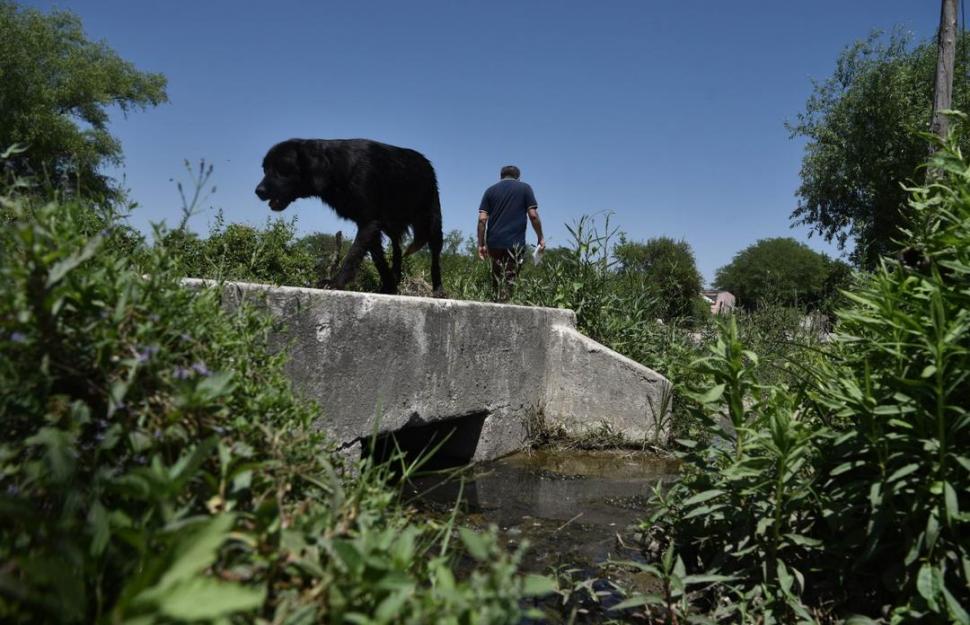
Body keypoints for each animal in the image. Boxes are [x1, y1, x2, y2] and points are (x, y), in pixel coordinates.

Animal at [253, 138, 442, 294]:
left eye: (282, 168)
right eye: (265, 169)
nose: (258, 191)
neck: (336, 169)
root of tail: (426, 162)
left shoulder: (369, 222)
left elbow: (353, 254)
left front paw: (336, 283)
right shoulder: (371, 224)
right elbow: (378, 259)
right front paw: (389, 286)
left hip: (432, 222)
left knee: (435, 258)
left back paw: (438, 290)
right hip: (391, 226)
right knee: (397, 249)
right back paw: (395, 277)